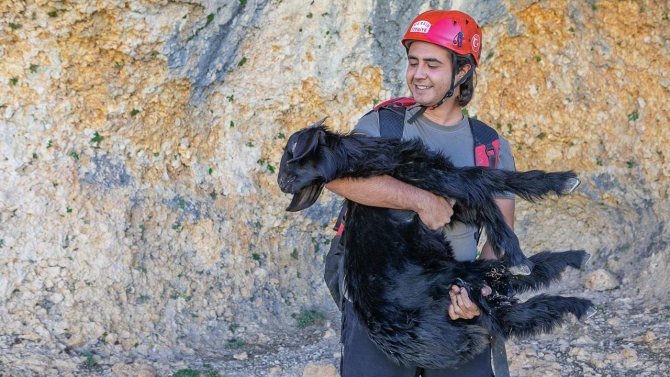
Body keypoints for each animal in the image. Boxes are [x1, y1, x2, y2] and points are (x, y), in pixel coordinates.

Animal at [278, 119, 600, 368]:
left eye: (291, 152)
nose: (281, 183)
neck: (364, 161)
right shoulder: (446, 186)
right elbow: (487, 196)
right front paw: (516, 251)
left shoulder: (451, 193)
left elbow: (498, 177)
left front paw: (559, 181)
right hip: (455, 277)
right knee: (511, 300)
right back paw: (573, 296)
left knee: (508, 297)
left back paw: (572, 260)